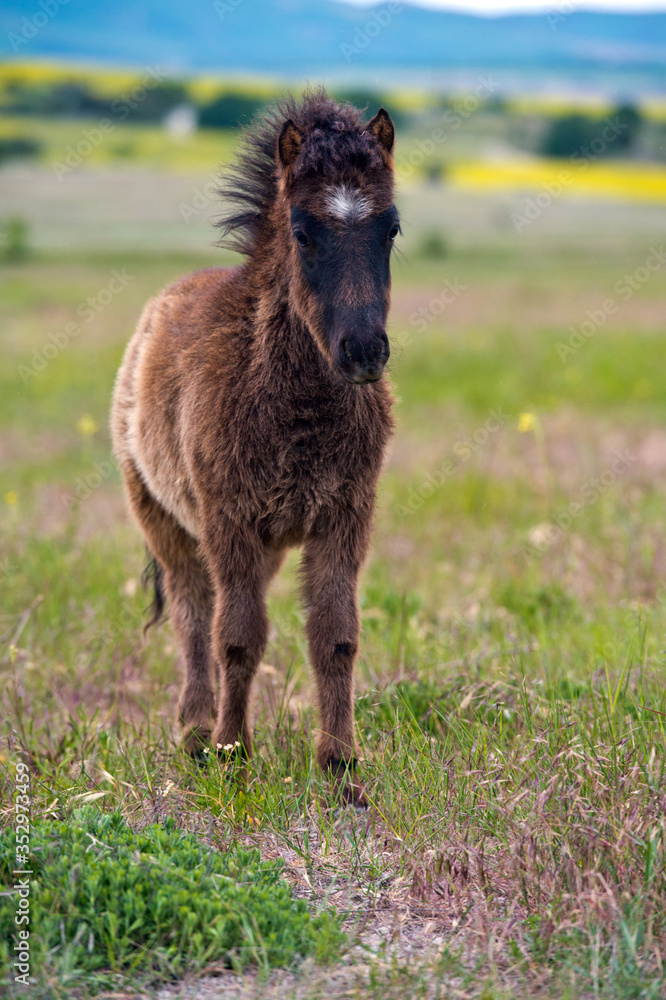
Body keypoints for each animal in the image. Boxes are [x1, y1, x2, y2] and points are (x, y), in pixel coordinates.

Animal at [111, 90, 399, 805]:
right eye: (302, 232)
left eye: (390, 230)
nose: (363, 352)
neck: (297, 410)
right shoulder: (229, 518)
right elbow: (237, 638)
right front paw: (232, 753)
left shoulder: (343, 516)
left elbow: (335, 636)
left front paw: (341, 766)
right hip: (165, 520)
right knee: (194, 616)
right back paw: (194, 733)